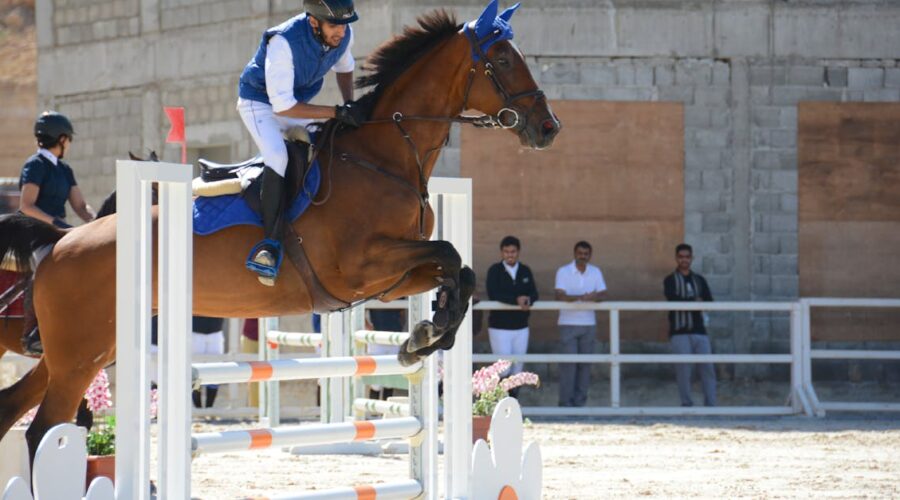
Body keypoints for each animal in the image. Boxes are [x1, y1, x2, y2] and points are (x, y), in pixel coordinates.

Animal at [0, 3, 559, 462]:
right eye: (503, 60)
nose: (549, 128)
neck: (383, 159)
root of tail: (60, 244)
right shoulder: (361, 266)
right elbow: (449, 255)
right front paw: (425, 335)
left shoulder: (390, 278)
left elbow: (458, 270)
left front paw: (422, 336)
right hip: (80, 353)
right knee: (43, 429)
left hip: (92, 348)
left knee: (17, 406)